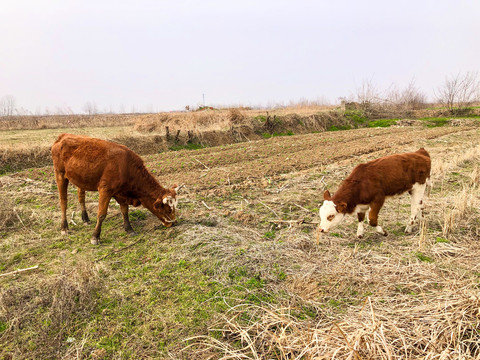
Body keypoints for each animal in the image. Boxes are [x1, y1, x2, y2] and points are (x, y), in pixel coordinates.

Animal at [52, 134, 180, 245]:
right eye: (168, 209)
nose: (174, 223)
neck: (126, 167)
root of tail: (63, 136)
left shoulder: (121, 194)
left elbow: (125, 211)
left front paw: (129, 229)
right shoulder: (105, 190)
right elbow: (101, 214)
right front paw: (95, 237)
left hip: (81, 179)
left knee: (81, 197)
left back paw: (85, 219)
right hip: (60, 175)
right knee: (63, 201)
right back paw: (64, 227)